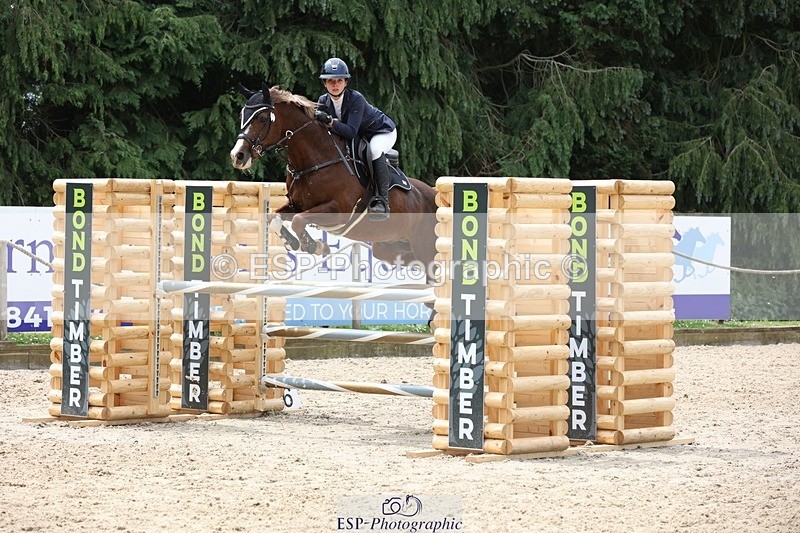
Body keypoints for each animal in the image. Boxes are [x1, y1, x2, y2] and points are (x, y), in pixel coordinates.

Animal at [229, 83, 439, 284]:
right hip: (390, 247)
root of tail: (436, 196)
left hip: (425, 248)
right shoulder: (297, 205)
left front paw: (316, 246)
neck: (316, 160)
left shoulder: (338, 211)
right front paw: (297, 243)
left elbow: (298, 221)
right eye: (243, 115)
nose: (237, 156)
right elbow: (274, 218)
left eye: (263, 118)